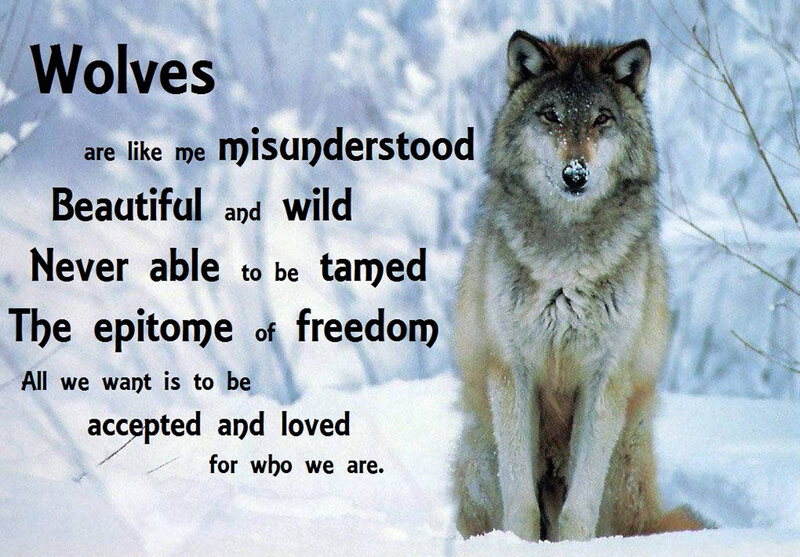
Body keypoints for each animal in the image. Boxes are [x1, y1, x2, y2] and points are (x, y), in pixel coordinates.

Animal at [452, 31, 706, 542]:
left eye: (601, 119)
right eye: (551, 116)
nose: (575, 174)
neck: (566, 264)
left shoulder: (605, 377)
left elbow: (579, 510)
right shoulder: (512, 371)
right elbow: (521, 505)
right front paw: (517, 546)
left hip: (623, 459)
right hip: (482, 445)